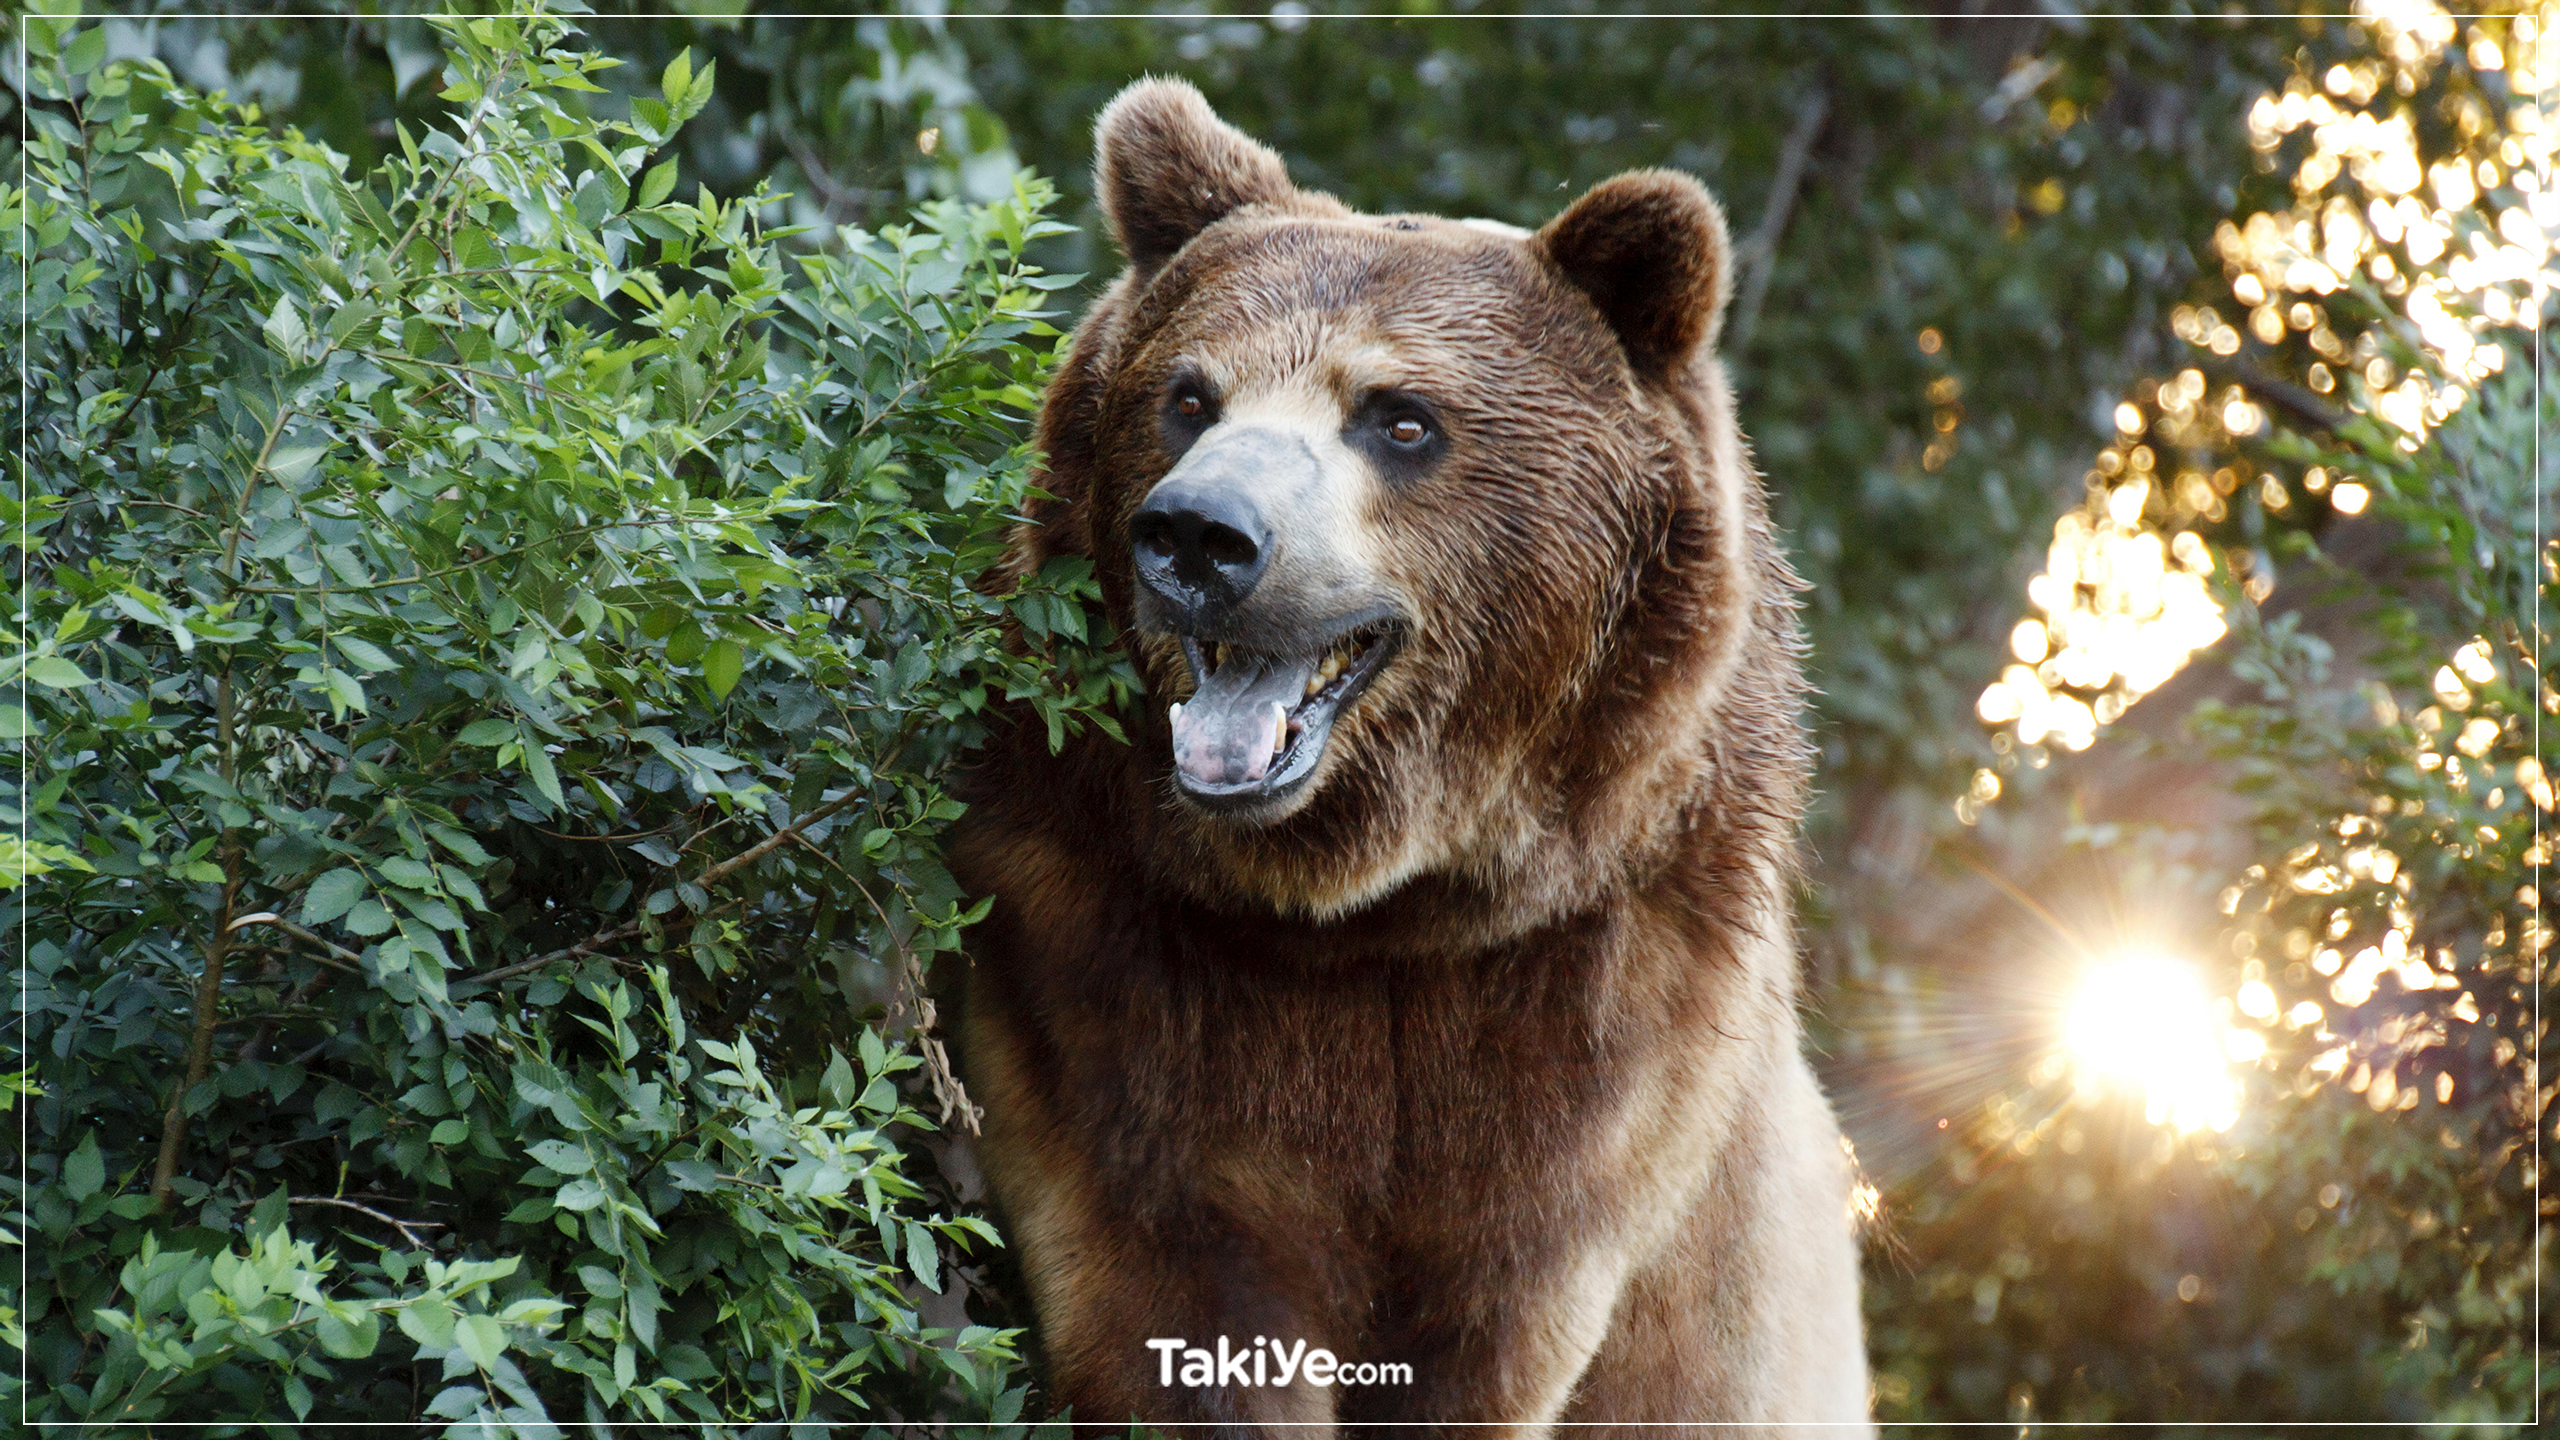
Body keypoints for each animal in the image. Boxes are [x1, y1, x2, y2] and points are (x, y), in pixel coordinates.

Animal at [952, 78, 1873, 1434]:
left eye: (1398, 418)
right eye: (1188, 396)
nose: (1200, 536)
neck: (1378, 907)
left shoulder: (1598, 1022)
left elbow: (1485, 1319)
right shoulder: (1104, 960)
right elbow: (1174, 1287)